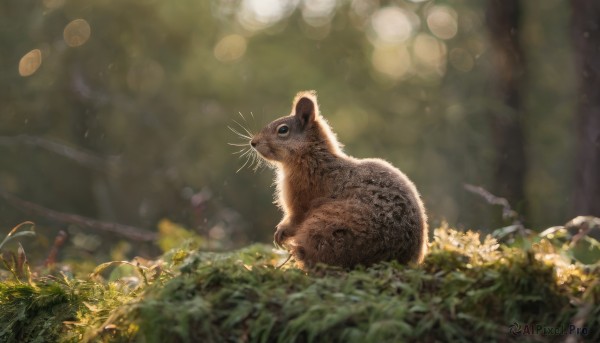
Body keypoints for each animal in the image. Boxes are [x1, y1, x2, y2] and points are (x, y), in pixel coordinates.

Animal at [248, 92, 426, 270]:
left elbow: (294, 219)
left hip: (328, 228)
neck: (311, 157)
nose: (253, 142)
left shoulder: (302, 198)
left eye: (283, 130)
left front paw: (281, 232)